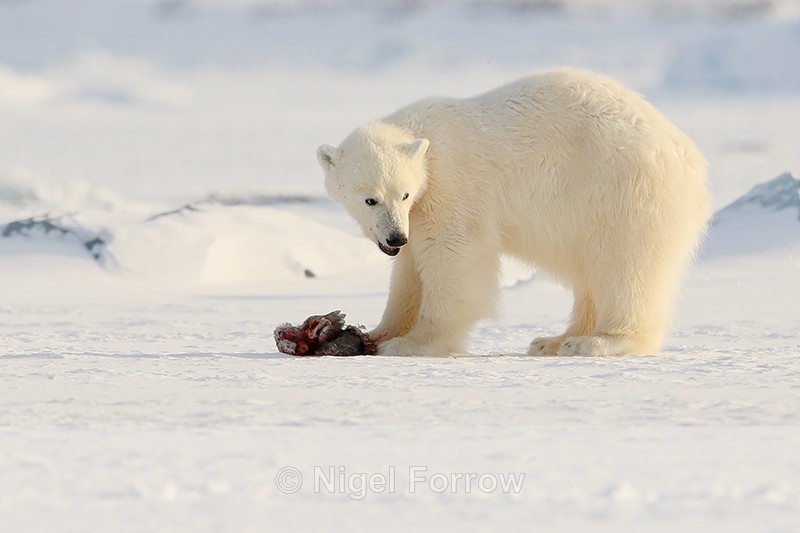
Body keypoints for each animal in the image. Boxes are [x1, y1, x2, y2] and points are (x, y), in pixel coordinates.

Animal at [316, 67, 710, 356]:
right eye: (371, 200)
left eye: (404, 193)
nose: (395, 237)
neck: (425, 142)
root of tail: (690, 157)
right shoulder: (419, 213)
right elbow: (408, 275)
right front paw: (376, 332)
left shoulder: (454, 185)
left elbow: (456, 258)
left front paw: (413, 344)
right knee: (590, 274)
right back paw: (553, 341)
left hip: (623, 190)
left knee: (625, 267)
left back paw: (598, 341)